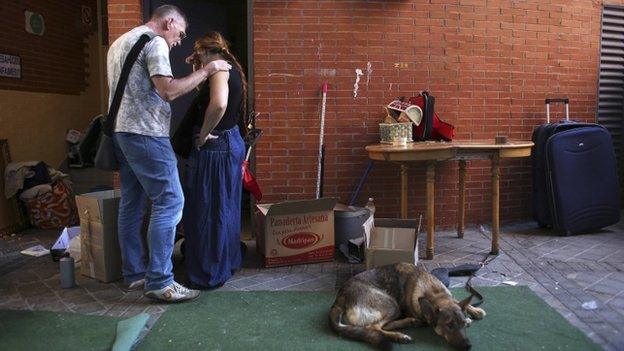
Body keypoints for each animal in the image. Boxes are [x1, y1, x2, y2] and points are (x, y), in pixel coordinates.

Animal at [330, 262, 486, 350]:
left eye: (462, 324)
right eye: (449, 325)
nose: (468, 346)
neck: (435, 292)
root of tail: (340, 296)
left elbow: (457, 299)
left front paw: (474, 310)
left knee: (382, 326)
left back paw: (412, 322)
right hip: (392, 305)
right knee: (373, 327)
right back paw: (400, 336)